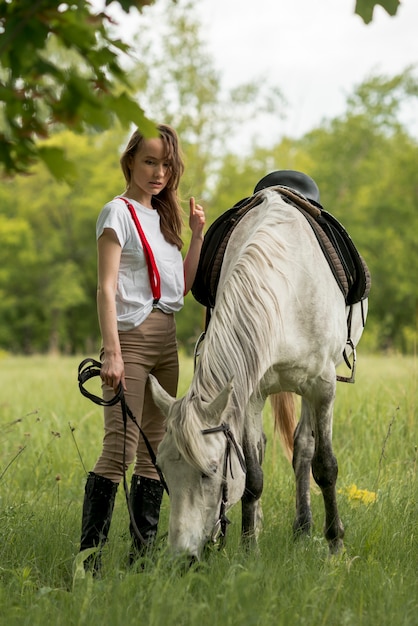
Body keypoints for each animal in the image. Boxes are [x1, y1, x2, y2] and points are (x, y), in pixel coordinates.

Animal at [149, 188, 368, 560]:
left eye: (210, 472)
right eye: (162, 470)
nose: (182, 557)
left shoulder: (323, 387)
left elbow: (325, 466)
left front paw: (335, 545)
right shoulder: (249, 394)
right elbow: (252, 476)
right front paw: (250, 548)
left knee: (304, 447)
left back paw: (304, 528)